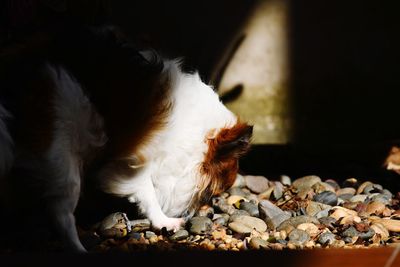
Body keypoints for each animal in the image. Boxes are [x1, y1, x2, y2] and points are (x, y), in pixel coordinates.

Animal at [0, 24, 252, 252]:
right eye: (210, 193)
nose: (204, 213)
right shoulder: (134, 161)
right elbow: (147, 192)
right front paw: (164, 221)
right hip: (61, 154)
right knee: (62, 215)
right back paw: (78, 249)